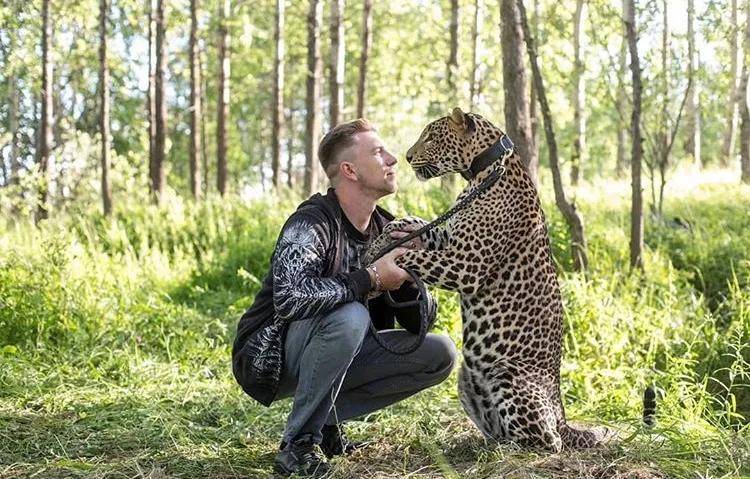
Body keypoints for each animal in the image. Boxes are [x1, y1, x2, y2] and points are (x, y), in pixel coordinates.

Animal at [368, 107, 612, 452]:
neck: (483, 171)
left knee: (549, 441)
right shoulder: (447, 238)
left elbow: (410, 258)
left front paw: (379, 263)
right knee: (499, 427)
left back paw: (511, 448)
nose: (407, 156)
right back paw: (483, 445)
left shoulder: (466, 264)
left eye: (431, 136)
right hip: (465, 379)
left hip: (507, 375)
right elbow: (414, 224)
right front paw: (381, 240)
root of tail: (563, 416)